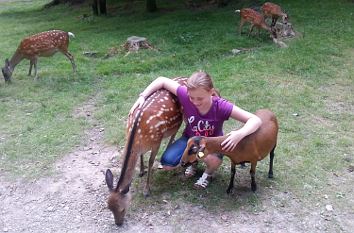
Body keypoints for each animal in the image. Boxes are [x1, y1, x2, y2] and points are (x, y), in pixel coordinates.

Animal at [104, 77, 188, 226]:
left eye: (122, 208)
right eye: (109, 208)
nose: (118, 224)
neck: (138, 134)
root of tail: (186, 78)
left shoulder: (156, 141)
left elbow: (150, 162)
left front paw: (146, 190)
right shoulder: (142, 146)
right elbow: (142, 155)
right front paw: (141, 171)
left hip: (179, 119)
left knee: (176, 131)